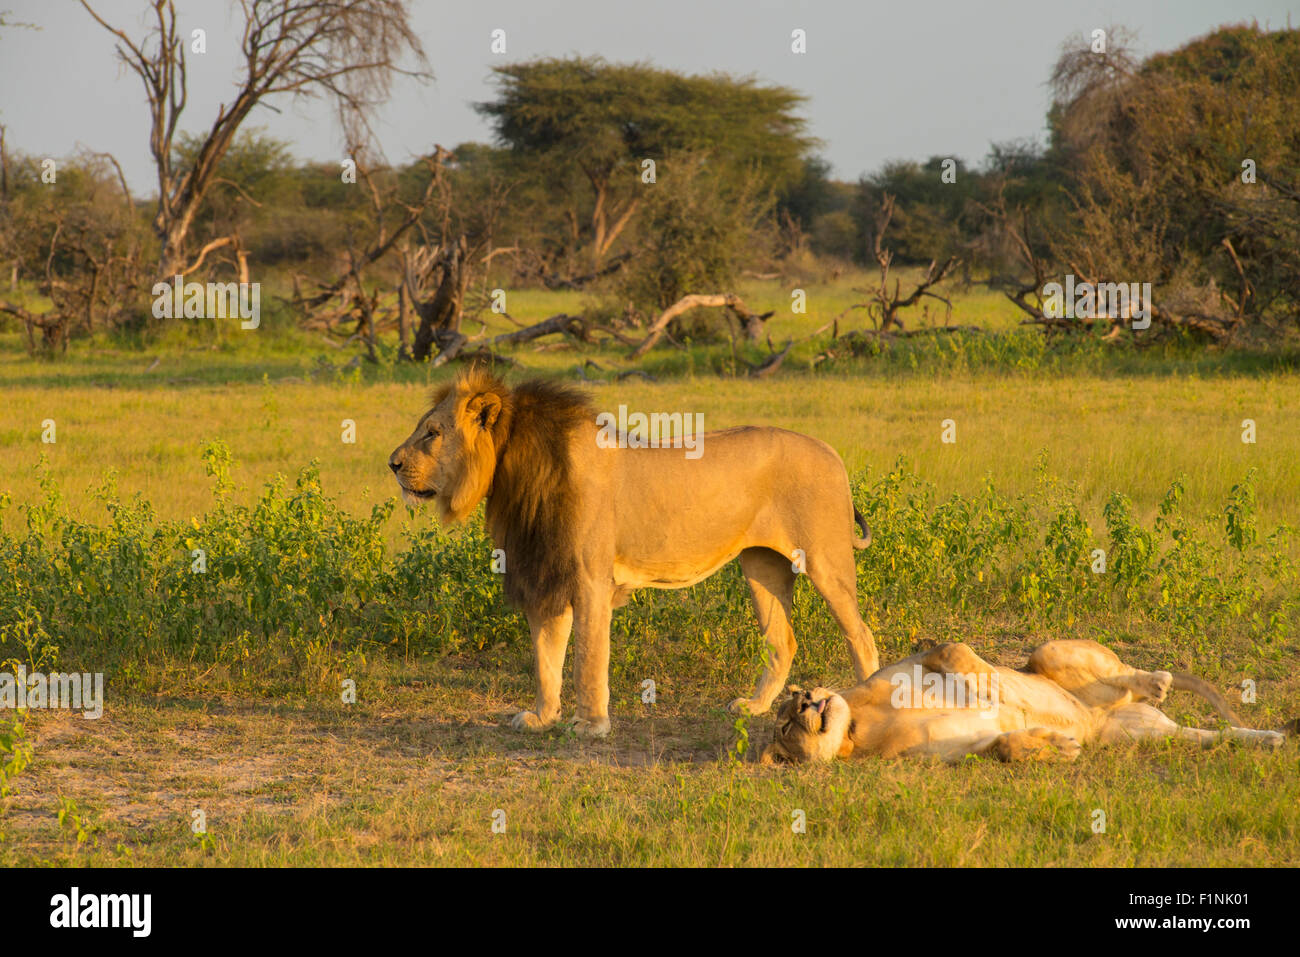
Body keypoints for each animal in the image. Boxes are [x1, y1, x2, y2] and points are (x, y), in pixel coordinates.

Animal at [388, 366, 880, 737]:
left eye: (432, 433)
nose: (392, 464)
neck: (516, 473)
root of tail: (831, 450)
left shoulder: (589, 581)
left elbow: (587, 658)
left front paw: (590, 726)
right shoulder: (545, 575)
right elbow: (546, 658)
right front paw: (542, 718)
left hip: (825, 559)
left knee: (860, 634)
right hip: (762, 564)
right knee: (782, 640)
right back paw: (754, 708)